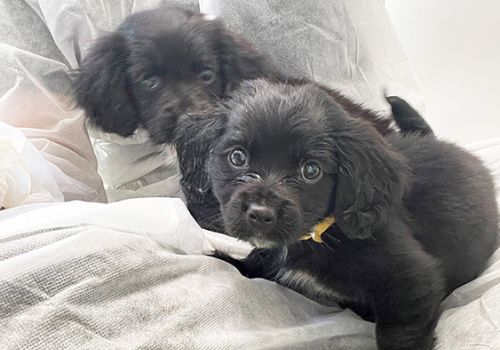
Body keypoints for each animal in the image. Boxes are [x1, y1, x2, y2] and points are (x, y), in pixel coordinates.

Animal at [206, 79, 496, 350]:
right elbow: (257, 260)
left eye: (311, 170)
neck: (321, 232)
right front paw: (226, 260)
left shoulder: (414, 282)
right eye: (237, 157)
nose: (260, 213)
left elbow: (401, 334)